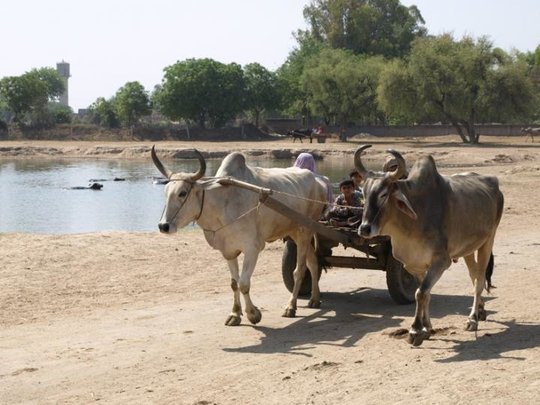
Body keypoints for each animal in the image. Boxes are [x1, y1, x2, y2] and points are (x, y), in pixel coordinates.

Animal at [152, 145, 330, 326]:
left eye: (182, 193)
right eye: (165, 192)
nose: (163, 226)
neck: (223, 204)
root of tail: (320, 178)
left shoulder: (253, 248)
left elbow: (244, 283)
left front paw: (253, 314)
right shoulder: (228, 251)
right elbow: (234, 283)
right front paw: (235, 314)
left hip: (305, 230)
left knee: (299, 270)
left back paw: (291, 306)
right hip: (296, 232)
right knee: (313, 262)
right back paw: (315, 299)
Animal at [356, 144, 504, 344]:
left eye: (383, 194)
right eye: (364, 193)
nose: (364, 228)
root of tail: (493, 182)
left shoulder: (441, 261)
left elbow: (421, 293)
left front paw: (415, 330)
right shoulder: (414, 265)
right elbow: (425, 293)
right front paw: (427, 327)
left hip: (488, 241)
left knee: (479, 280)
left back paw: (472, 319)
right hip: (467, 249)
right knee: (474, 276)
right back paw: (480, 310)